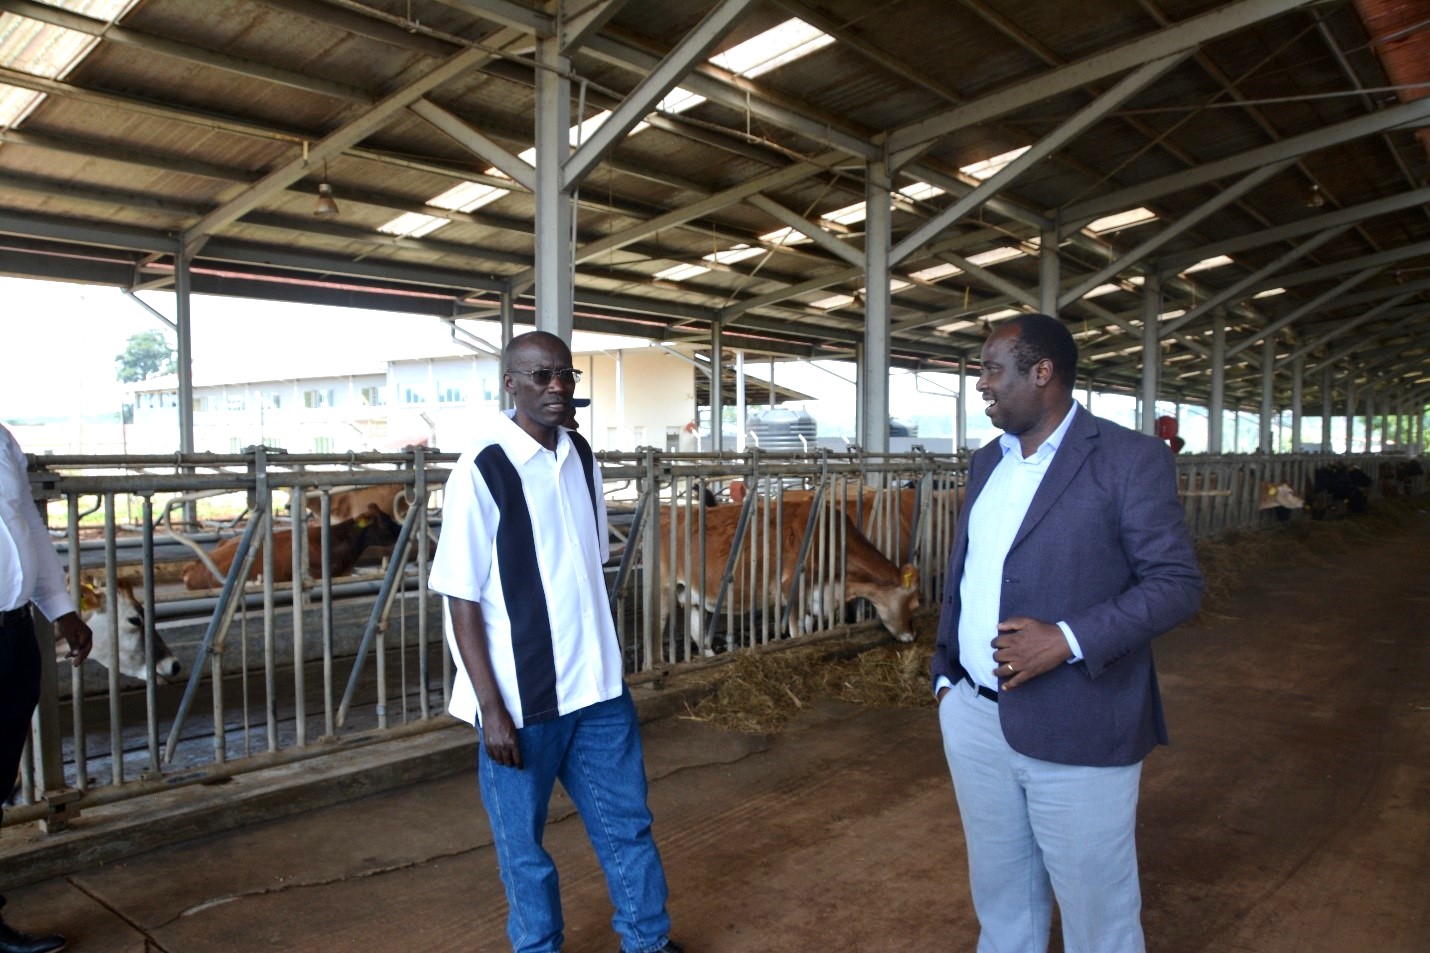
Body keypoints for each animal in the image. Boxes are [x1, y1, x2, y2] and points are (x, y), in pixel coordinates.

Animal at [654, 492, 920, 658]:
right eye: (915, 604)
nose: (912, 636)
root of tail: (666, 510)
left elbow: (809, 627)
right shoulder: (792, 588)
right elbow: (797, 632)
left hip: (690, 593)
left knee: (696, 631)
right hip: (663, 590)